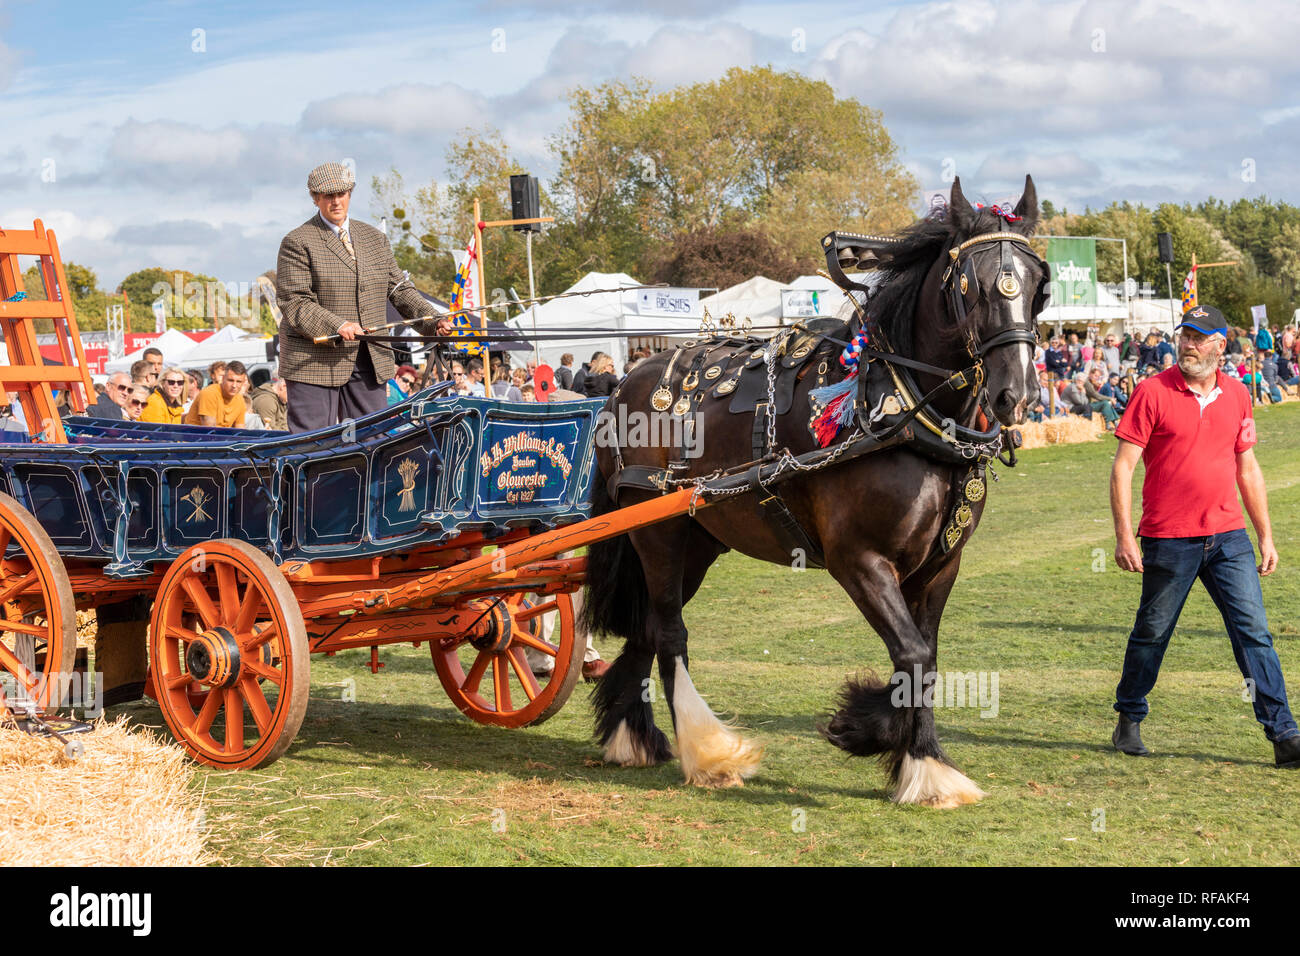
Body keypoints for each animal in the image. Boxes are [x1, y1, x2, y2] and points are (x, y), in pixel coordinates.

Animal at [580, 175, 1048, 807]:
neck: (898, 408)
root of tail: (625, 381)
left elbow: (925, 658)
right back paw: (707, 750)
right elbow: (911, 651)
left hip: (698, 542)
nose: (1015, 392)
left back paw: (631, 736)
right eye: (970, 287)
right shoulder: (859, 560)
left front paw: (900, 748)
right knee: (671, 631)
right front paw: (899, 749)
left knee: (650, 627)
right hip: (657, 529)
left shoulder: (940, 566)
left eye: (1037, 285)